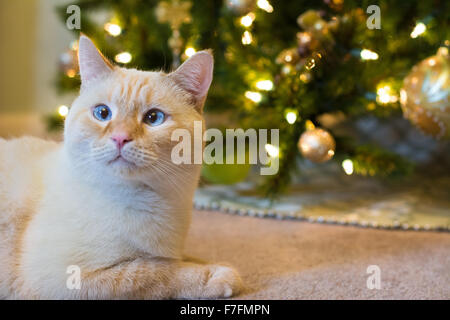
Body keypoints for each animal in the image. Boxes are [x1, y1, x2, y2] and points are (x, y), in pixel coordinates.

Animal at [0, 35, 243, 300]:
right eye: (102, 113)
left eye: (153, 118)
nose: (120, 138)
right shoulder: (62, 278)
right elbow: (153, 270)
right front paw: (218, 275)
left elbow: (178, 258)